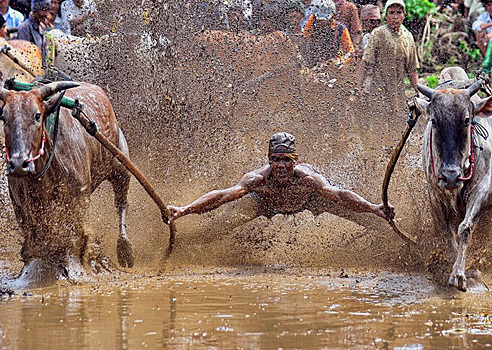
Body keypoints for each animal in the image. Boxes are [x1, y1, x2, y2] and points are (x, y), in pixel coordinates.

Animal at [0, 82, 135, 288]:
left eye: (37, 115)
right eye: (3, 117)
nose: (18, 164)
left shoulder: (78, 198)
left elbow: (73, 235)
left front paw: (74, 270)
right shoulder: (21, 206)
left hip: (121, 168)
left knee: (121, 206)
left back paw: (125, 248)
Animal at [418, 67, 492, 292]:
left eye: (467, 120)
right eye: (434, 121)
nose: (451, 176)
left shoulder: (482, 190)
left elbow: (464, 228)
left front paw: (459, 273)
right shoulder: (435, 195)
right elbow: (447, 234)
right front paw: (453, 269)